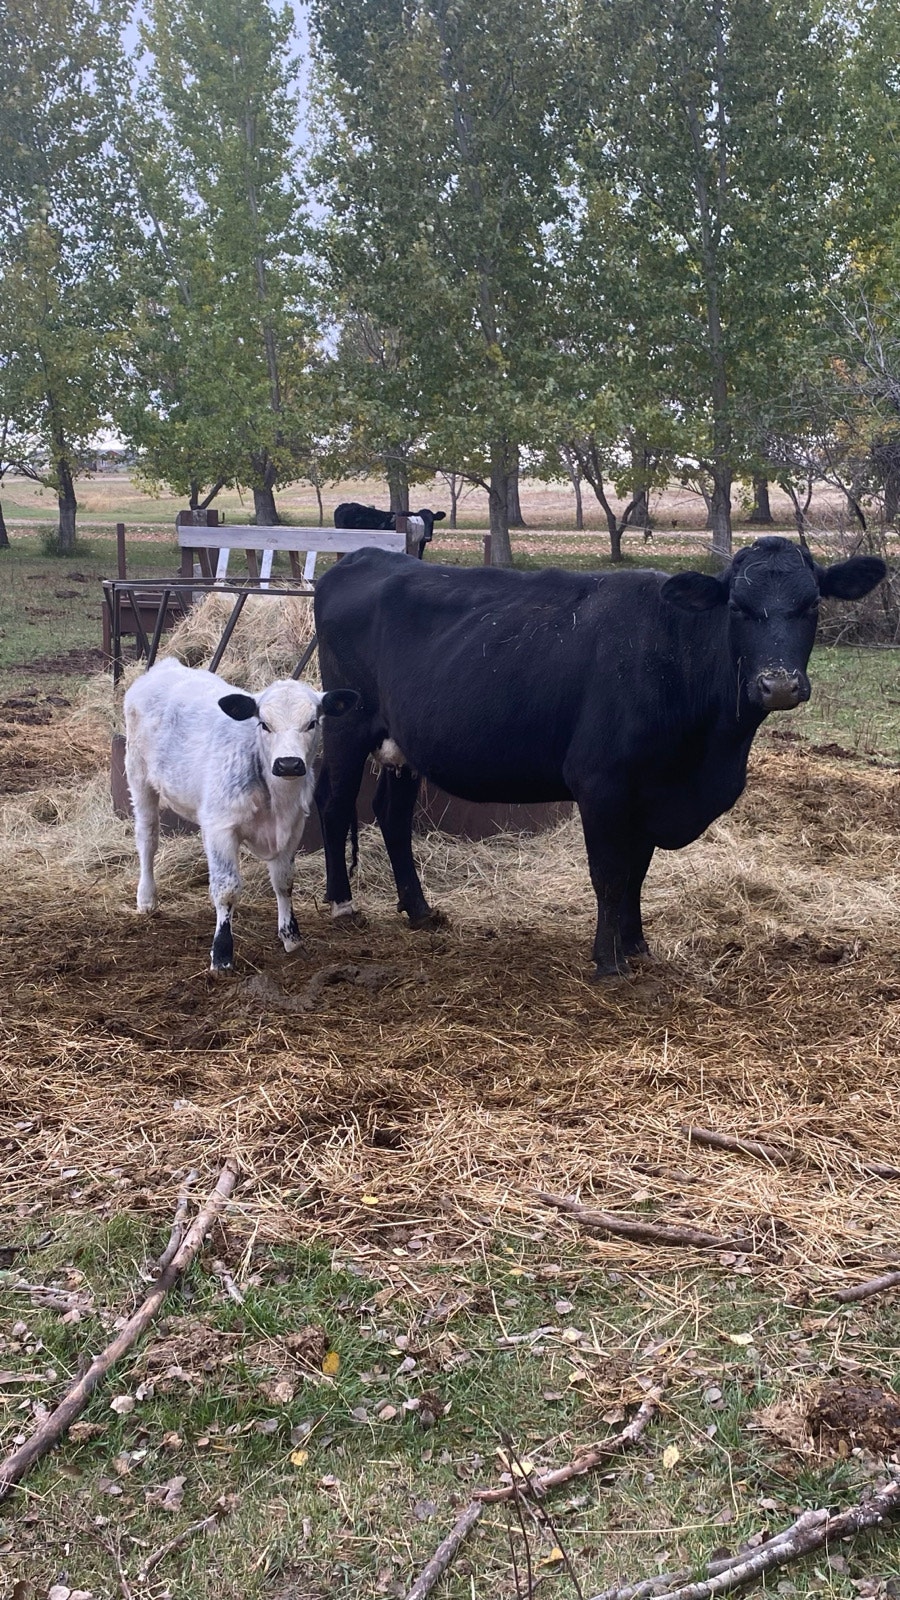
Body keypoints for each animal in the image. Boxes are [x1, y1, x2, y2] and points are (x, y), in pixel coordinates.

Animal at [124, 658, 359, 972]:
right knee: (147, 839)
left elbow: (284, 882)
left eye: (312, 723)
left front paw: (291, 938)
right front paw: (222, 953)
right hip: (139, 778)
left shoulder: (293, 828)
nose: (288, 764)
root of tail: (166, 666)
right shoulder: (221, 829)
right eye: (264, 724)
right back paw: (147, 898)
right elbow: (227, 889)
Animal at [312, 537, 886, 977]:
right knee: (335, 805)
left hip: (402, 744)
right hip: (347, 723)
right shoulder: (602, 783)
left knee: (392, 816)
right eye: (738, 607)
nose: (779, 684)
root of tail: (362, 557)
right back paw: (343, 903)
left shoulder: (650, 791)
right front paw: (608, 960)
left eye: (811, 605)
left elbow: (637, 872)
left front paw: (637, 945)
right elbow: (609, 872)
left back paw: (419, 909)